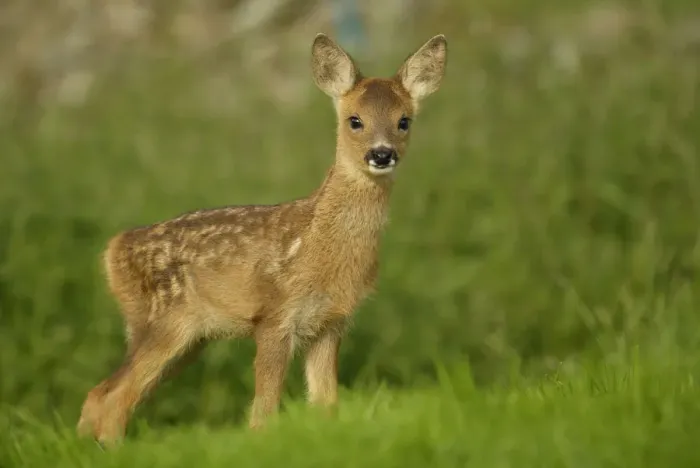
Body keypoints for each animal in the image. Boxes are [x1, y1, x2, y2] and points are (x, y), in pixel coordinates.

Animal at [77, 32, 447, 446]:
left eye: (404, 121)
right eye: (355, 120)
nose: (381, 154)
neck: (320, 246)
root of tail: (114, 248)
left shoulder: (330, 323)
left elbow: (326, 404)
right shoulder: (274, 315)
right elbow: (263, 411)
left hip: (189, 337)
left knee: (100, 393)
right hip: (163, 320)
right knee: (114, 398)